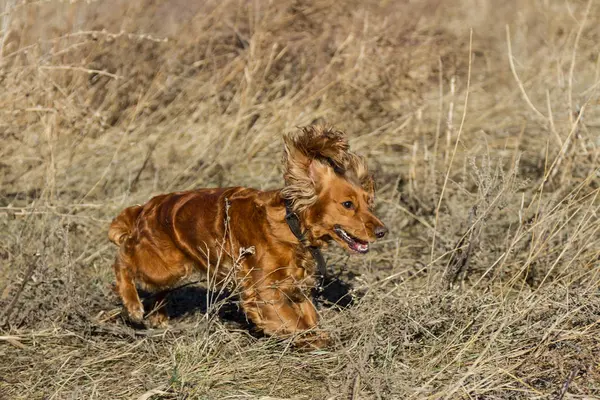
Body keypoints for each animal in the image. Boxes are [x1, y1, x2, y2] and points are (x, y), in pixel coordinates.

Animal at [108, 126, 390, 346]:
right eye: (347, 204)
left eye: (369, 202)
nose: (382, 231)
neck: (290, 225)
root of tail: (145, 208)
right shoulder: (264, 291)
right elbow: (295, 321)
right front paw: (316, 339)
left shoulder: (294, 286)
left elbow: (309, 315)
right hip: (162, 265)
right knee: (123, 259)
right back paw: (133, 306)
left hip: (171, 271)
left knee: (155, 288)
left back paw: (159, 318)